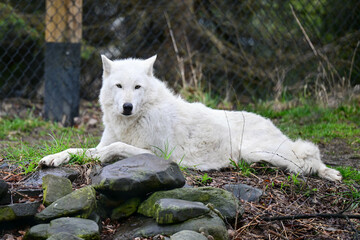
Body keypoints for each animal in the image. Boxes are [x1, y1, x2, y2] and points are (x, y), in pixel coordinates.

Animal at [38, 55, 340, 181]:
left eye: (137, 87)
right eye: (119, 86)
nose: (127, 106)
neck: (133, 122)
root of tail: (270, 122)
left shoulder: (159, 154)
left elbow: (113, 148)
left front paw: (100, 158)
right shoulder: (103, 141)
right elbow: (76, 149)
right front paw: (52, 158)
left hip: (260, 150)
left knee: (307, 157)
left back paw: (330, 173)